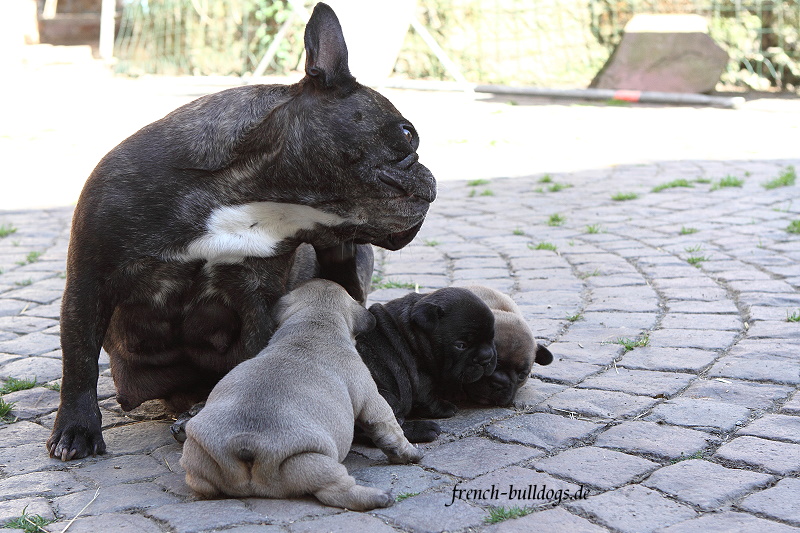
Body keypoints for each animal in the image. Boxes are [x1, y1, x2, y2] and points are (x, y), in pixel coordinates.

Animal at [48, 3, 438, 462]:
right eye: (408, 133)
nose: (431, 174)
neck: (255, 194)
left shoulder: (257, 298)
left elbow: (253, 353)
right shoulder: (89, 280)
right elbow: (79, 357)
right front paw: (76, 428)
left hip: (352, 261)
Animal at [179, 278, 422, 508]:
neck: (314, 325)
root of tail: (245, 443)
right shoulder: (371, 397)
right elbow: (390, 428)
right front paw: (409, 453)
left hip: (199, 455)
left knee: (201, 482)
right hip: (310, 462)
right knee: (335, 489)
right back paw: (377, 497)